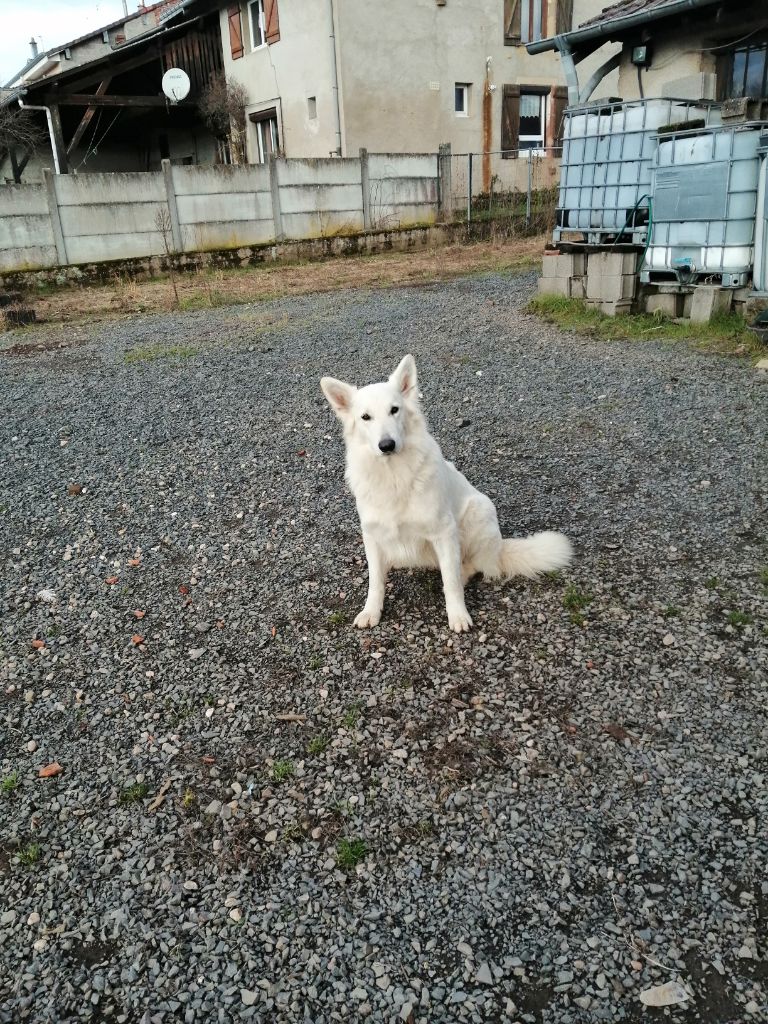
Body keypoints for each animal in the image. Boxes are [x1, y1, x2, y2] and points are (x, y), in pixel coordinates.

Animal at [320, 355, 573, 632]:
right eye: (366, 417)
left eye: (394, 410)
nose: (386, 445)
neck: (394, 475)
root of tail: (499, 548)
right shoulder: (372, 535)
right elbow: (375, 581)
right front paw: (371, 611)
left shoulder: (444, 532)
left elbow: (450, 582)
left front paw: (458, 614)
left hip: (478, 512)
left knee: (472, 566)